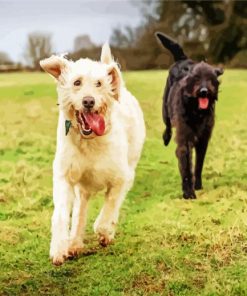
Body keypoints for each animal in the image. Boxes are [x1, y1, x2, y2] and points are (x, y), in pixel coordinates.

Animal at [39, 42, 146, 264]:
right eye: (77, 82)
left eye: (99, 83)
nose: (88, 101)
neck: (89, 141)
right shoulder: (64, 176)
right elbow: (61, 214)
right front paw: (59, 247)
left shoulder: (122, 177)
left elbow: (111, 204)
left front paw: (104, 230)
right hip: (83, 187)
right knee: (80, 210)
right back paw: (74, 243)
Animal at [156, 32, 224, 199]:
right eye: (196, 78)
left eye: (210, 79)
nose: (204, 91)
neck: (196, 111)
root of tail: (182, 59)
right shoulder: (185, 138)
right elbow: (186, 165)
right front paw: (188, 192)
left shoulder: (203, 140)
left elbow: (198, 164)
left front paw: (197, 185)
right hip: (165, 109)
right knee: (167, 125)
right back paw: (166, 138)